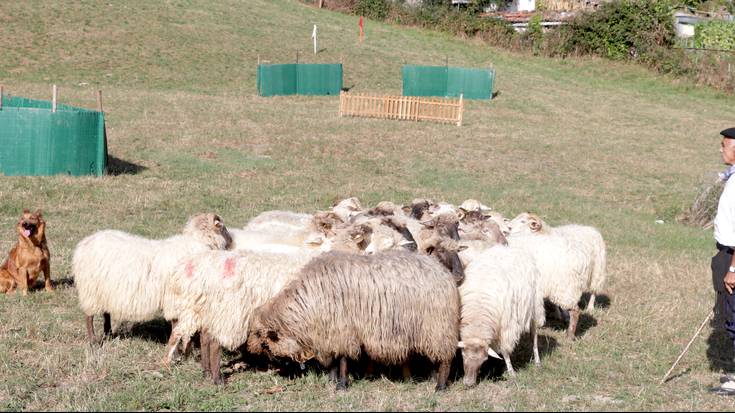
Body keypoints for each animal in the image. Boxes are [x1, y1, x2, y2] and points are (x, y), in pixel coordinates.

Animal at [74, 212, 230, 344]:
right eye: (223, 228)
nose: (231, 242)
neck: (199, 243)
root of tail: (85, 242)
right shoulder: (175, 298)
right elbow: (176, 324)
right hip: (90, 289)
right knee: (89, 316)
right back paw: (93, 341)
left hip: (104, 291)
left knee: (106, 313)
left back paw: (109, 333)